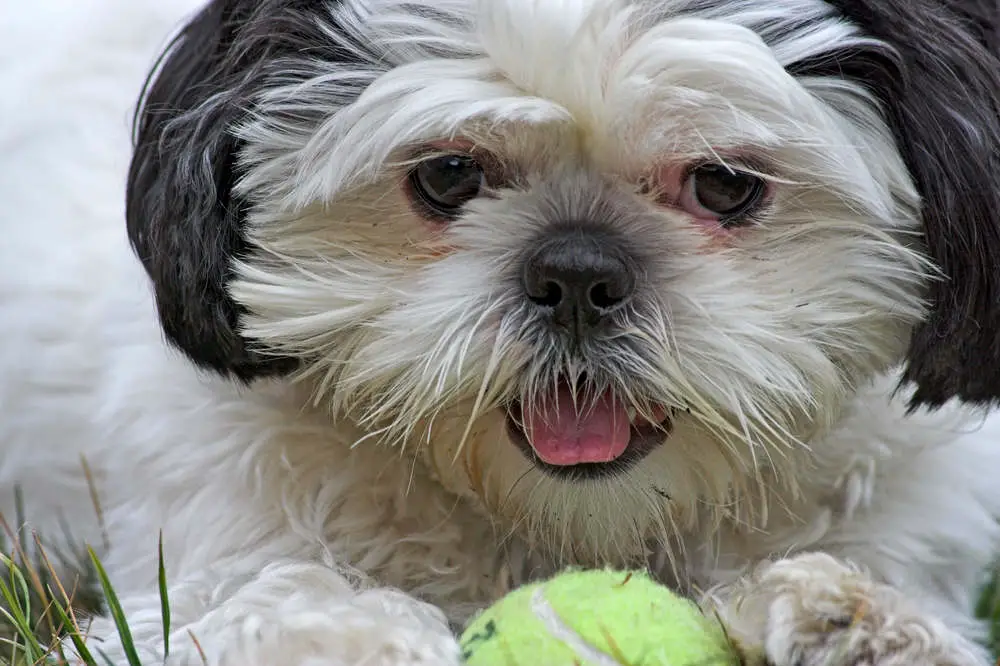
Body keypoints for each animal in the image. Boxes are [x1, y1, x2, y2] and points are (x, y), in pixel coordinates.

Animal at [5, 0, 1000, 660]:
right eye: (448, 176)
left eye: (724, 185)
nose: (576, 273)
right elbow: (271, 605)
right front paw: (354, 630)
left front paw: (853, 618)